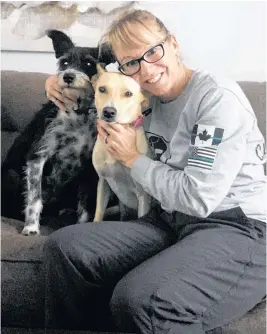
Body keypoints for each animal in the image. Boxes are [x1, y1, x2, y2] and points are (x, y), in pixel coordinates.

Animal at [1, 30, 115, 236]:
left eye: (89, 63)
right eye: (65, 62)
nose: (68, 77)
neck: (77, 113)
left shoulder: (87, 167)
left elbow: (85, 204)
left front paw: (80, 226)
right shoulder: (37, 157)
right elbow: (34, 198)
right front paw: (31, 227)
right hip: (12, 175)